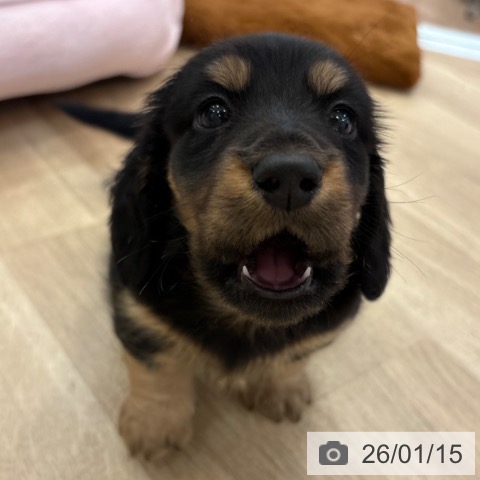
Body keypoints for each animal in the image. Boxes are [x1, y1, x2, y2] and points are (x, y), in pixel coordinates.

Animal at [63, 33, 391, 462]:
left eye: (343, 119)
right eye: (213, 112)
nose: (289, 176)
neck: (243, 318)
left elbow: (295, 353)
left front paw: (280, 387)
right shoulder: (136, 307)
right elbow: (157, 362)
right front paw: (155, 424)